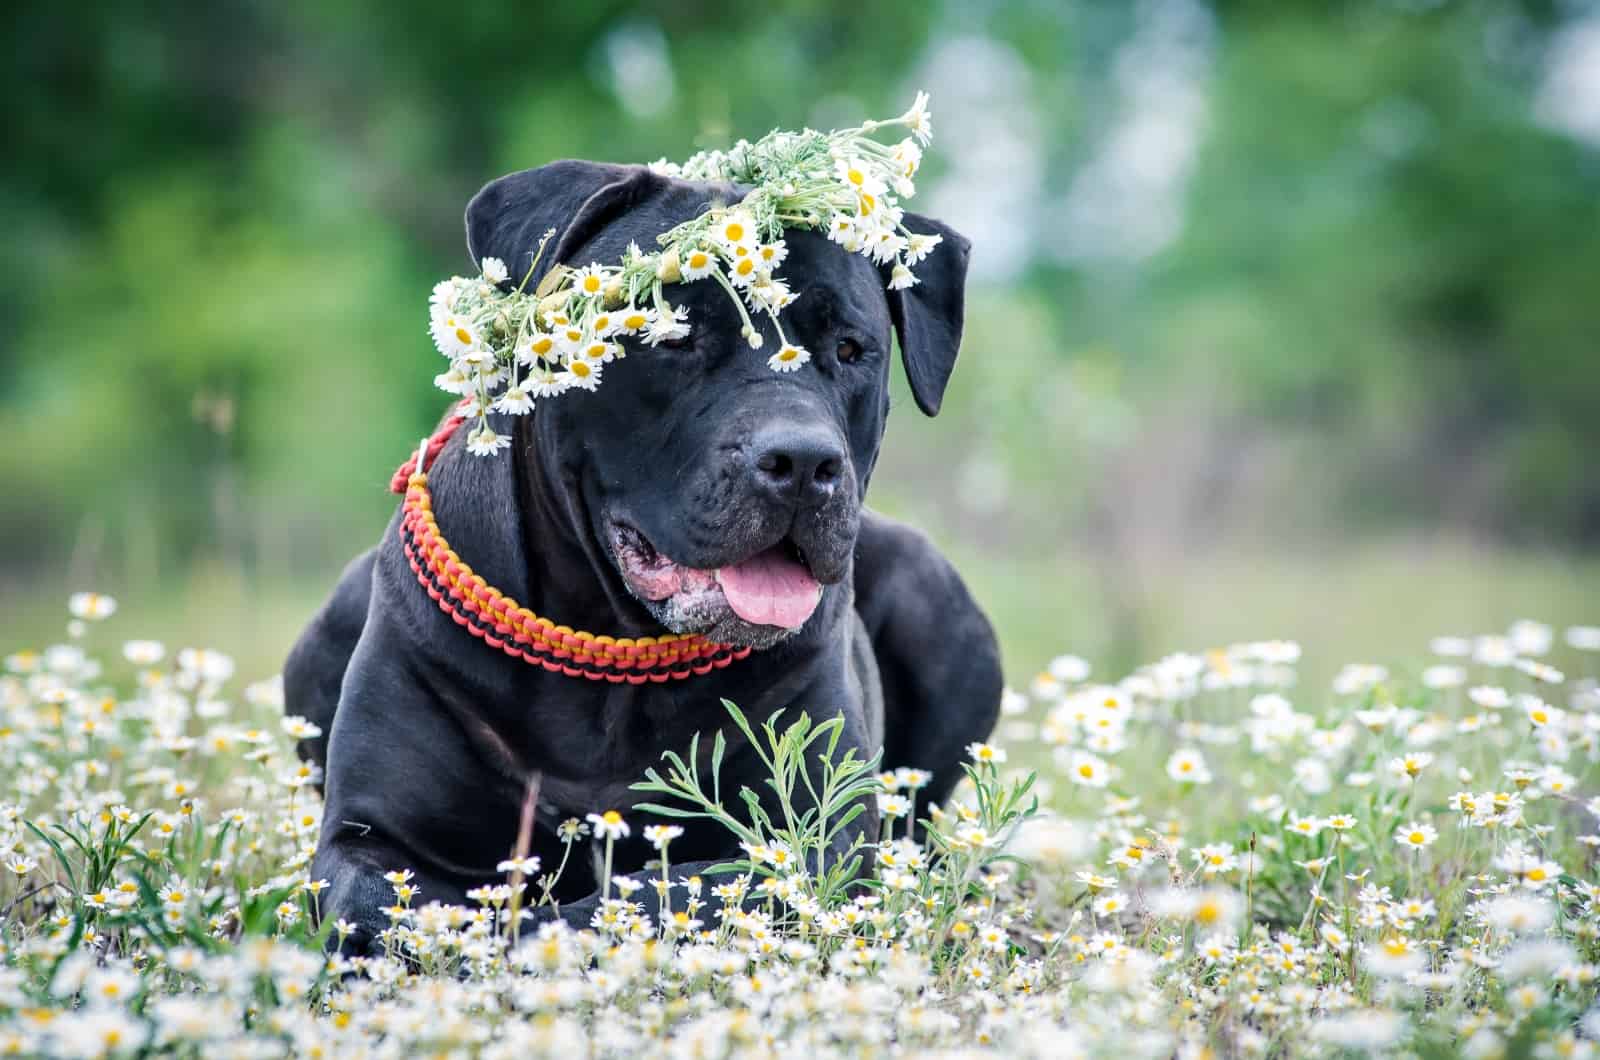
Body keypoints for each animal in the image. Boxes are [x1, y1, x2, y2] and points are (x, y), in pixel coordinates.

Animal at [281, 161, 992, 947]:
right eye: (675, 335)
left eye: (849, 349)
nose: (804, 462)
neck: (610, 654)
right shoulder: (369, 836)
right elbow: (390, 901)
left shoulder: (811, 841)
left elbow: (660, 894)